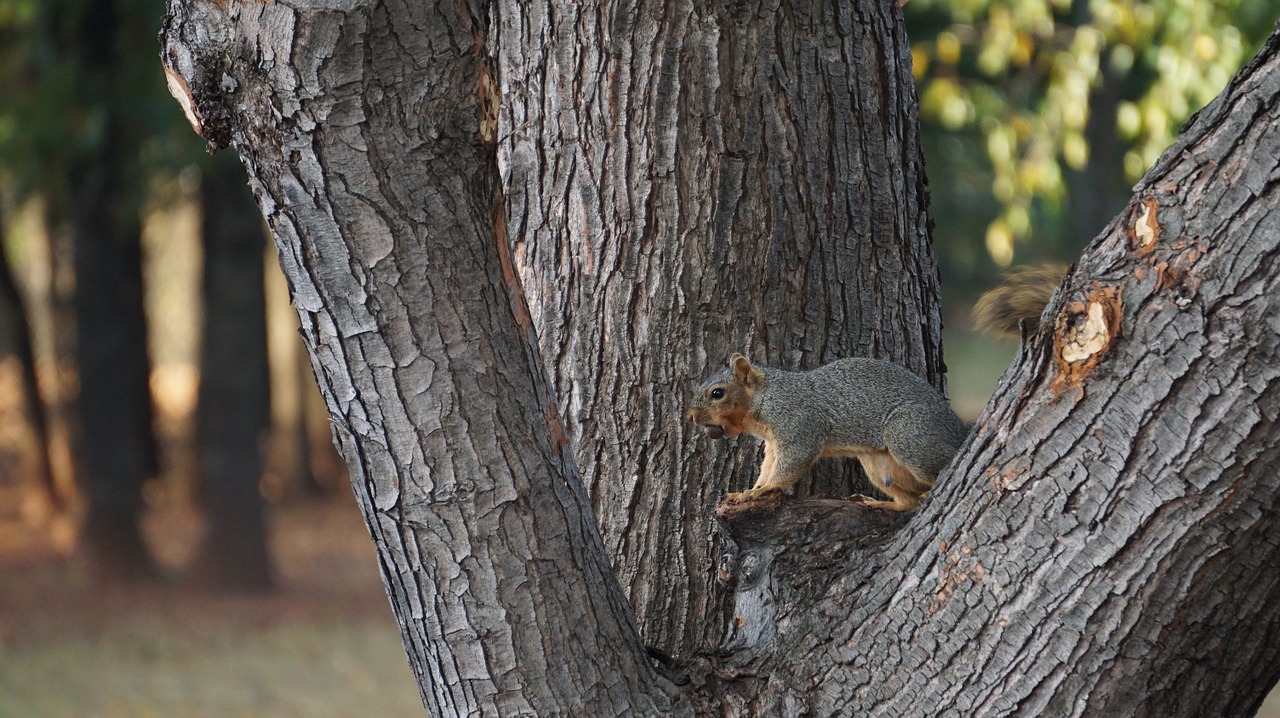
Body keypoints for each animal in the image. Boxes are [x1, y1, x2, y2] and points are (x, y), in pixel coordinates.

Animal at [691, 353, 967, 509]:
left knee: (941, 464)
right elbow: (768, 466)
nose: (692, 416)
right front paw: (750, 490)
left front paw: (766, 489)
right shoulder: (774, 444)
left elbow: (792, 462)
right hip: (878, 467)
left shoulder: (799, 425)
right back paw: (881, 504)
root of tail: (958, 428)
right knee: (908, 503)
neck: (766, 396)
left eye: (717, 393)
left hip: (910, 436)